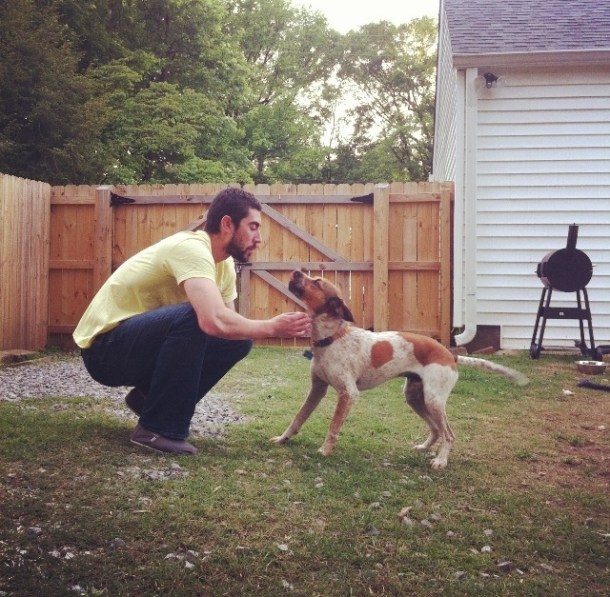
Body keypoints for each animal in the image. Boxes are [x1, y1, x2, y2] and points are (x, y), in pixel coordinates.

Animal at [271, 270, 529, 470]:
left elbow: (333, 426)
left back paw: (441, 461)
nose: (296, 271)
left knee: (449, 434)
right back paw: (424, 447)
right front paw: (283, 439)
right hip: (415, 397)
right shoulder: (317, 389)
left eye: (316, 282)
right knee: (436, 429)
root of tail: (450, 354)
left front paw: (325, 450)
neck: (331, 339)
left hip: (434, 400)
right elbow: (298, 417)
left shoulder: (348, 394)